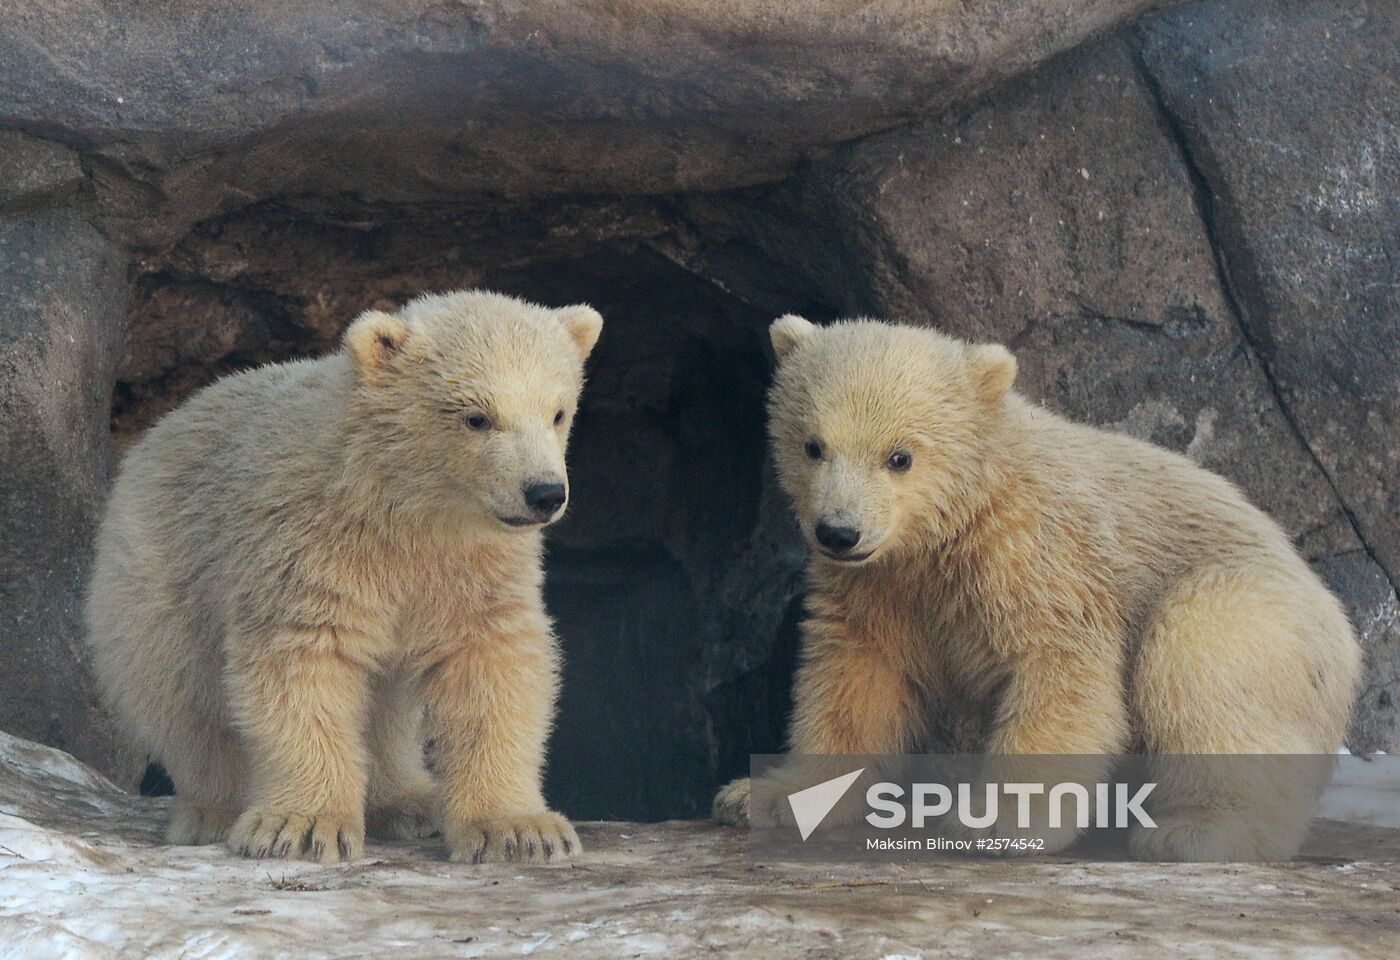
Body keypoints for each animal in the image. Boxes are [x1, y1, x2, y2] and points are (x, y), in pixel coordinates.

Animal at [85, 289, 602, 864]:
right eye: (476, 417)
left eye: (558, 412)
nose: (544, 493)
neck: (400, 509)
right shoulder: (309, 545)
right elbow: (305, 662)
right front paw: (302, 826)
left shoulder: (472, 567)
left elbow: (490, 667)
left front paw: (519, 831)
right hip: (162, 570)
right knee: (181, 694)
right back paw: (212, 810)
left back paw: (410, 803)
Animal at [714, 314, 1361, 860]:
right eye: (813, 445)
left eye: (900, 457)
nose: (839, 532)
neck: (953, 522)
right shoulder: (880, 587)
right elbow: (855, 682)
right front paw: (761, 795)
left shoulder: (1038, 556)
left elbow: (1059, 672)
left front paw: (996, 820)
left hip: (1264, 613)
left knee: (1200, 652)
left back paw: (1201, 830)